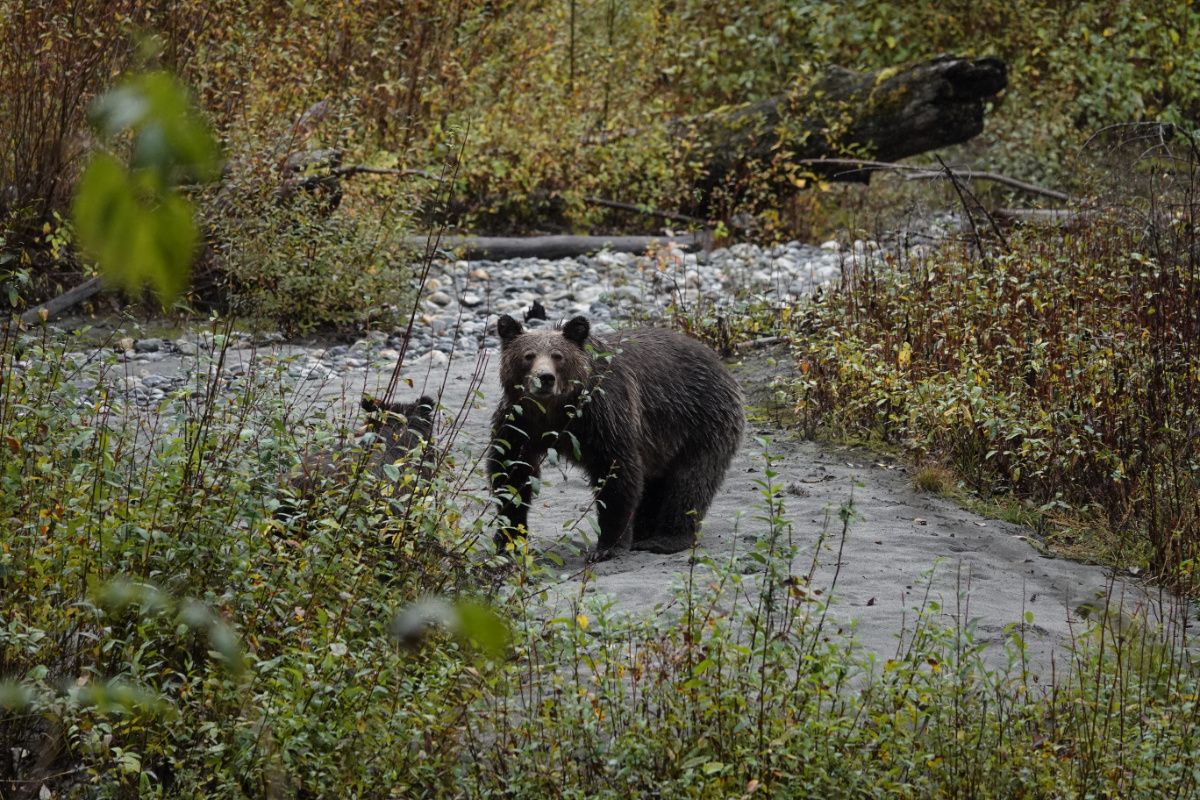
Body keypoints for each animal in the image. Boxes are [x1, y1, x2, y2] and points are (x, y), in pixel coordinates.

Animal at [487, 314, 739, 563]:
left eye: (558, 356)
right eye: (528, 355)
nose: (545, 378)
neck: (554, 411)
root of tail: (721, 364)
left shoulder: (603, 417)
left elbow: (616, 472)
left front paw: (607, 546)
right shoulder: (519, 424)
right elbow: (511, 473)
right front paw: (508, 540)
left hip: (700, 421)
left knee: (691, 481)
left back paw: (666, 539)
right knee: (655, 484)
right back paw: (644, 532)